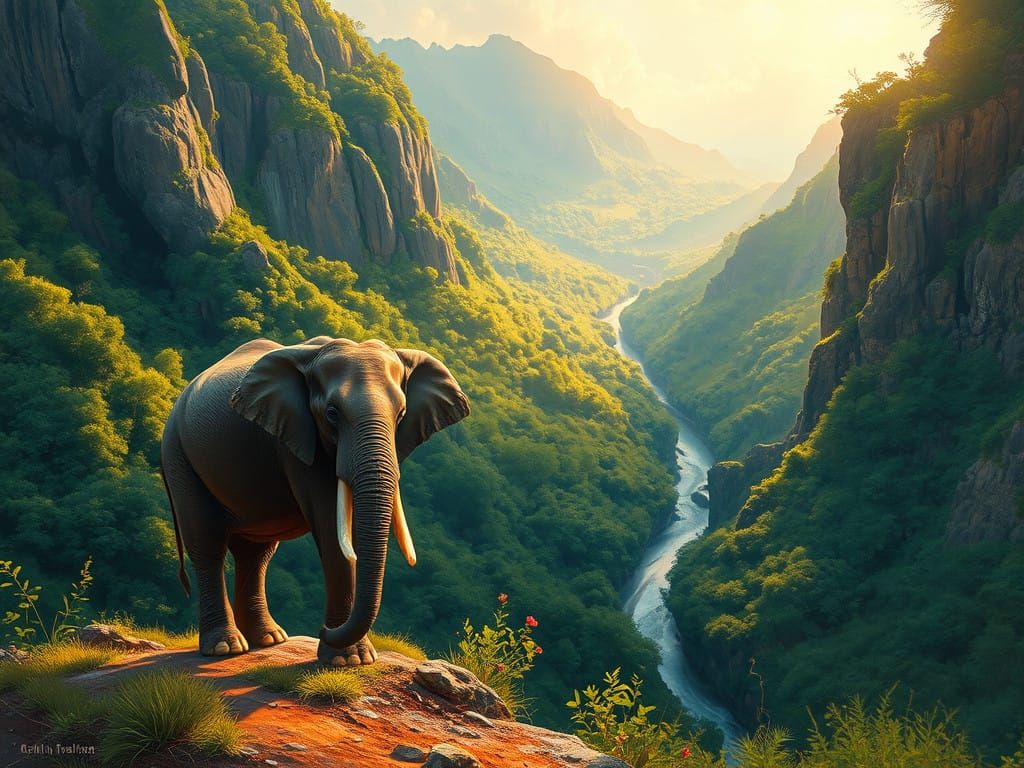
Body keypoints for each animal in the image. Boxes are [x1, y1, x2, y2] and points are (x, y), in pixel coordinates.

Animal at [160, 336, 469, 665]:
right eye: (332, 413)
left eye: (401, 415)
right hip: (179, 456)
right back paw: (225, 648)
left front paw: (352, 658)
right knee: (207, 544)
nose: (322, 629)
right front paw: (349, 660)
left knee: (255, 553)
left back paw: (268, 639)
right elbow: (333, 535)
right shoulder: (297, 441)